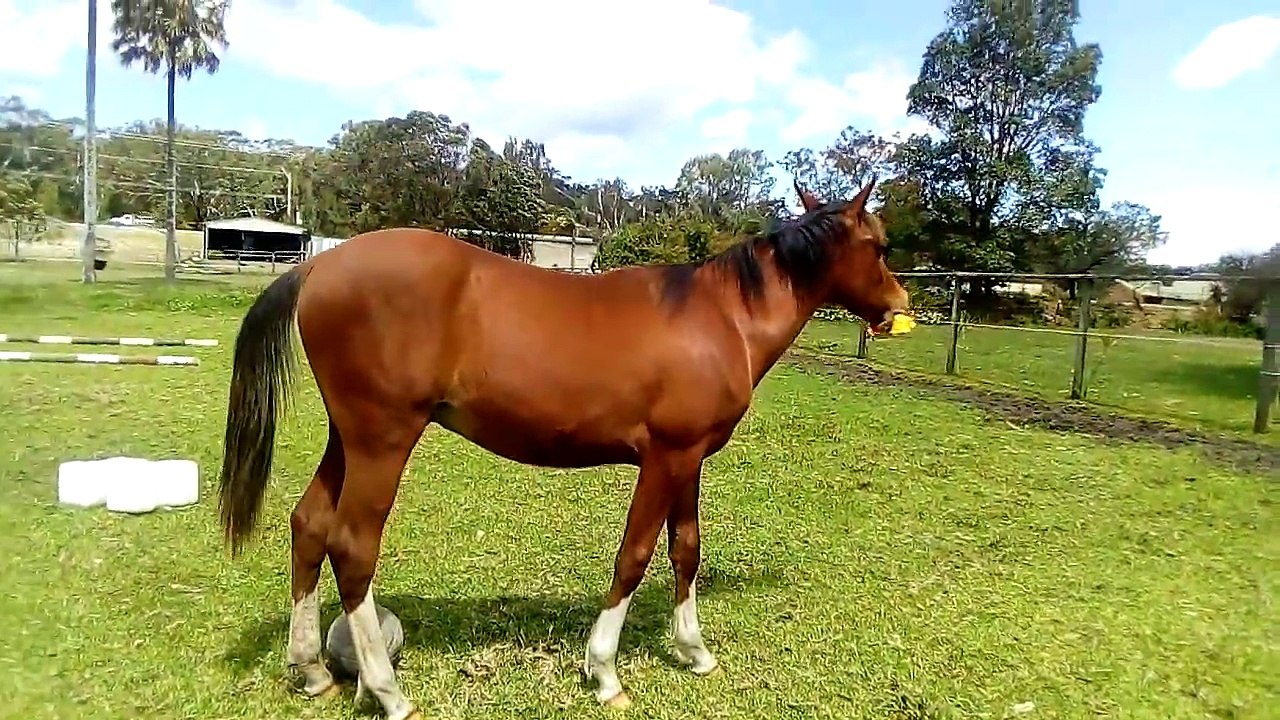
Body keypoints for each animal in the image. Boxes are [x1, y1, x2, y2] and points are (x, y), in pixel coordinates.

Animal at [216, 177, 911, 719]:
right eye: (878, 246)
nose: (900, 305)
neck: (720, 318)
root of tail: (318, 265)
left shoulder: (689, 459)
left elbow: (685, 551)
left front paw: (693, 651)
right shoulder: (664, 459)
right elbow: (634, 557)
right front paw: (604, 672)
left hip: (349, 438)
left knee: (309, 524)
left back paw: (312, 671)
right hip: (383, 440)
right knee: (352, 547)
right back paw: (387, 691)